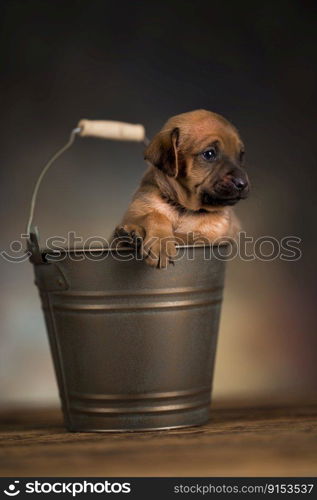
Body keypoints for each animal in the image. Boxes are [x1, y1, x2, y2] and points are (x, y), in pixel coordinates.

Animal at [112, 108, 248, 268]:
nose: (242, 184)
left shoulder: (213, 237)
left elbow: (186, 236)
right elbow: (155, 215)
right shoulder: (135, 211)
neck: (183, 209)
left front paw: (156, 240)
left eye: (241, 156)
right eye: (209, 154)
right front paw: (156, 239)